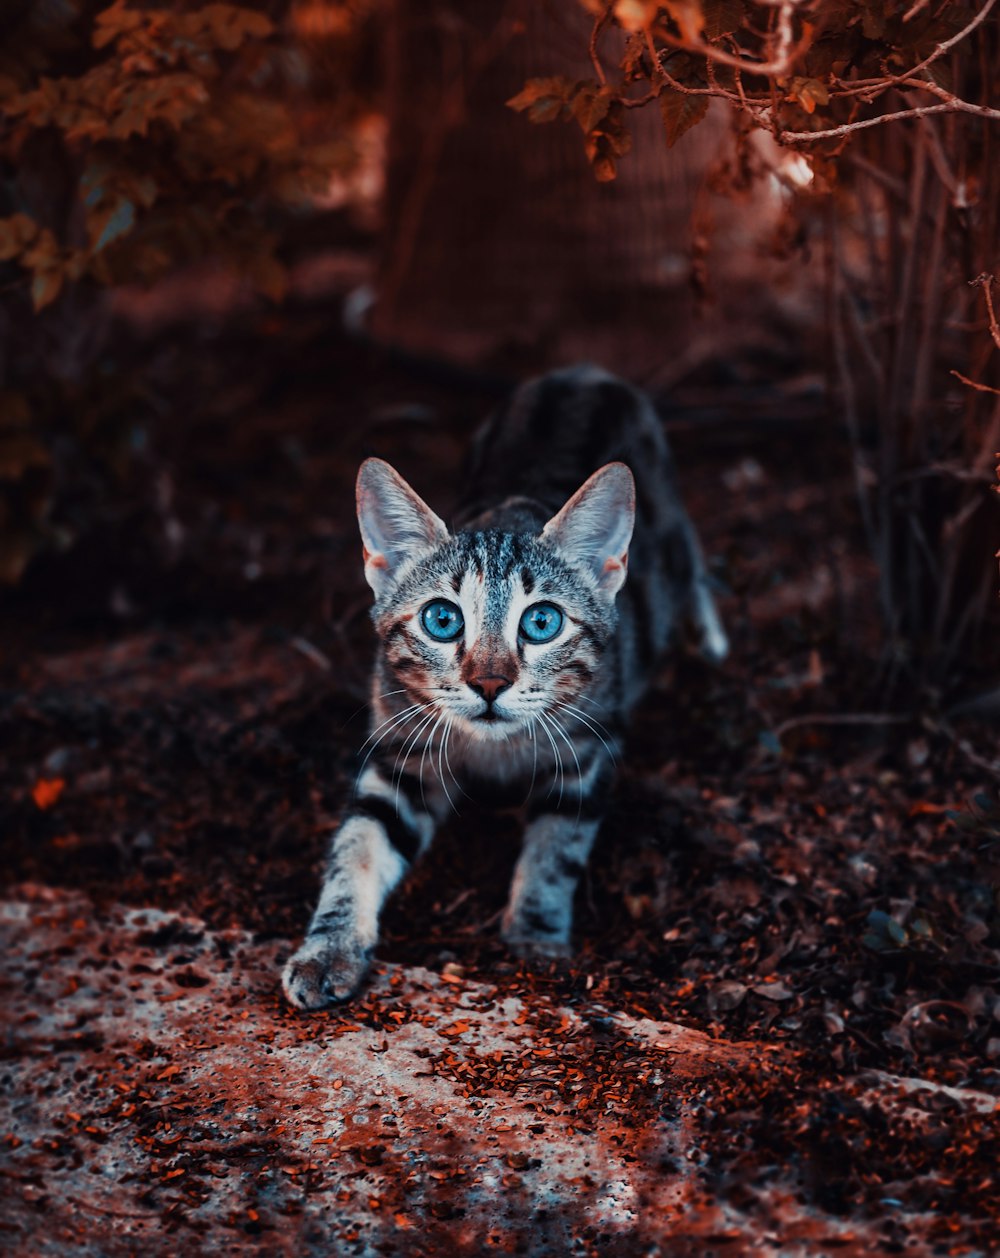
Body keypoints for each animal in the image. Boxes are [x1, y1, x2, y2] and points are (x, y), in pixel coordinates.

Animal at [281, 359, 729, 1006]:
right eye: (442, 620)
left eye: (541, 623)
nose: (489, 684)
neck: (493, 752)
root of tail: (583, 373)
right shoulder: (399, 747)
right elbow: (358, 844)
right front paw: (329, 946)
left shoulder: (588, 748)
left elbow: (555, 847)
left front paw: (536, 937)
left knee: (689, 562)